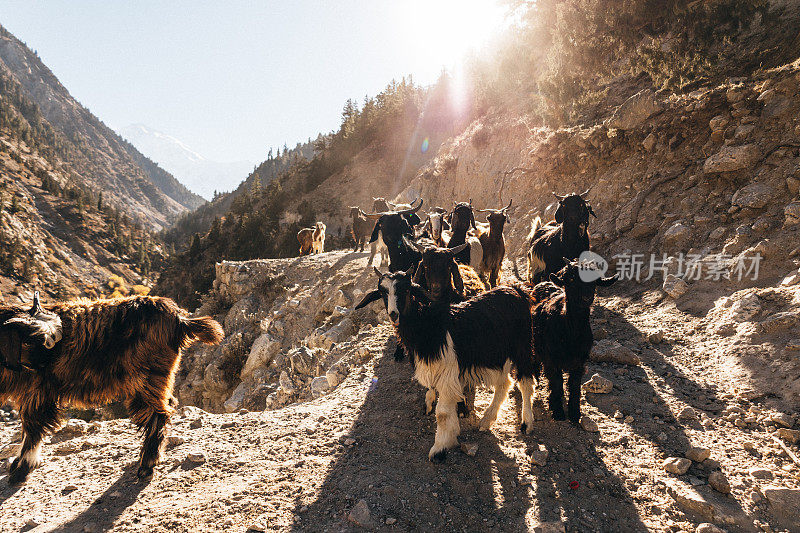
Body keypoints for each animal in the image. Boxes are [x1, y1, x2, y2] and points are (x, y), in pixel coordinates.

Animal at [0, 290, 222, 482]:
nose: (45, 361)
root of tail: (179, 320)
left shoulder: (38, 391)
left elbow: (33, 427)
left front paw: (21, 469)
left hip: (147, 378)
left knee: (159, 414)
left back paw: (147, 465)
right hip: (159, 379)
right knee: (167, 406)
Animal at [356, 268, 536, 460]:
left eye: (406, 289)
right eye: (382, 291)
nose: (393, 314)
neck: (430, 328)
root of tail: (517, 290)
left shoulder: (448, 371)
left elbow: (442, 412)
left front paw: (439, 448)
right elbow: (446, 404)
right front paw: (452, 434)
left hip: (522, 346)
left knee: (525, 382)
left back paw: (526, 423)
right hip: (498, 354)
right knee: (504, 383)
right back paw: (487, 419)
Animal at [532, 258, 620, 424]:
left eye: (594, 282)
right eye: (571, 280)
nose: (586, 298)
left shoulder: (580, 361)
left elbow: (574, 385)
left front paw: (574, 414)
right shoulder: (551, 359)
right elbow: (556, 382)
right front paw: (558, 412)